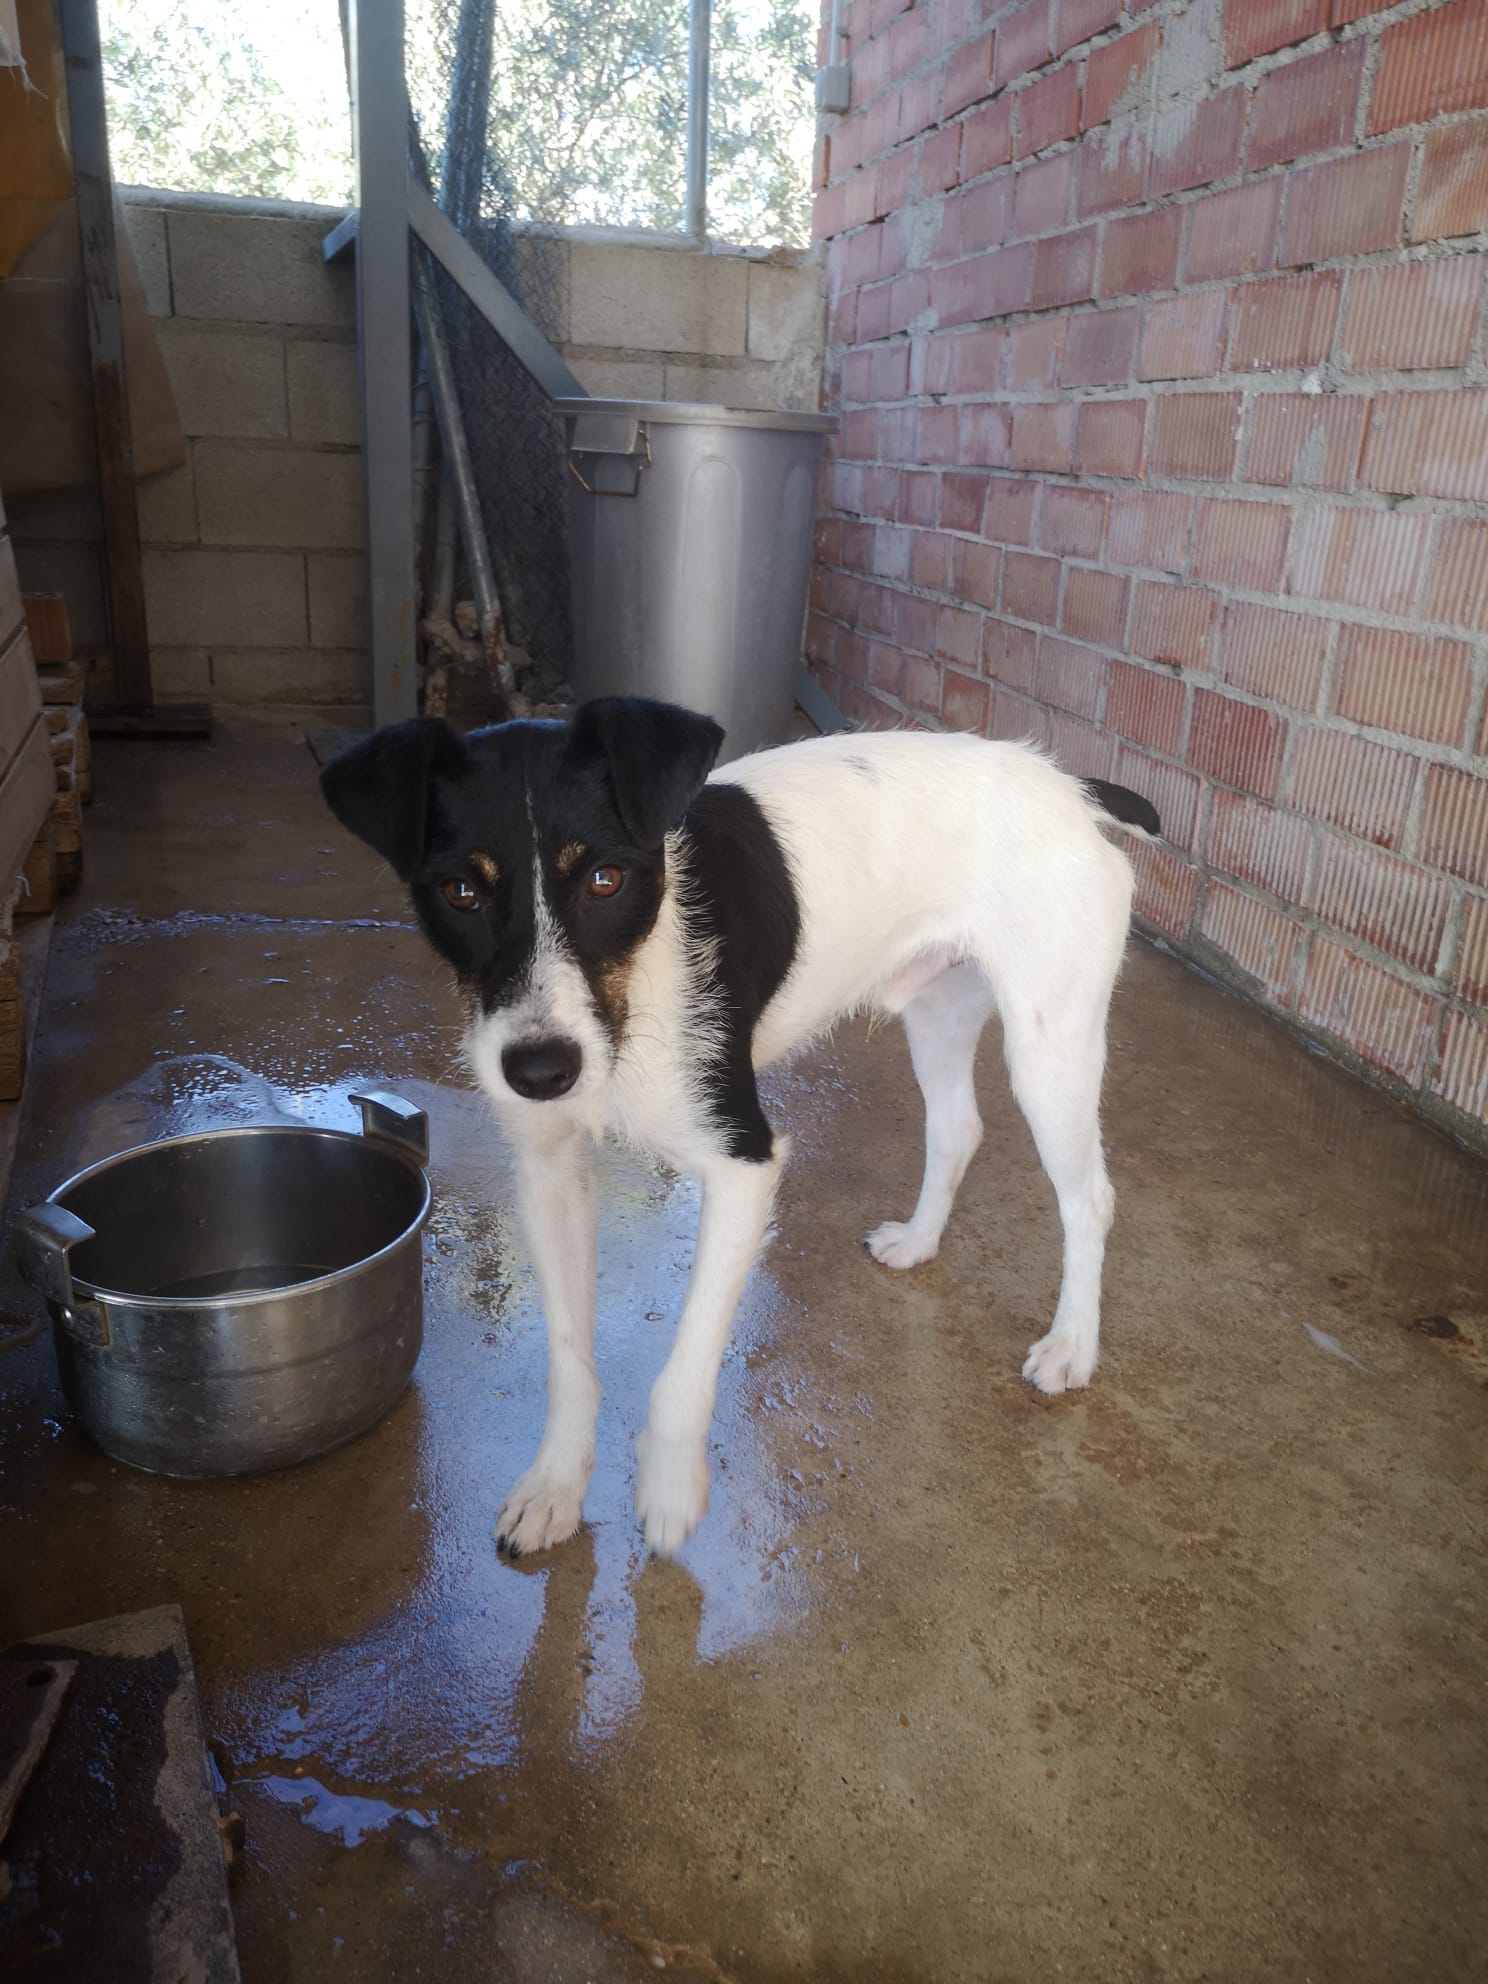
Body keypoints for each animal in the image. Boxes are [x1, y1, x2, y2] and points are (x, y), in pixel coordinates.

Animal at [322, 697, 1159, 1559]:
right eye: (460, 890)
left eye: (605, 878)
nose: (540, 1072)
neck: (636, 997)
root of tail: (1071, 787)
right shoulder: (548, 1173)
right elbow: (568, 1358)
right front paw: (555, 1484)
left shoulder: (743, 1162)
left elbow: (686, 1361)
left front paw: (668, 1486)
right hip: (938, 1012)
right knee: (958, 1128)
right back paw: (920, 1241)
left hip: (1050, 1048)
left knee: (1089, 1198)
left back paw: (1072, 1346)